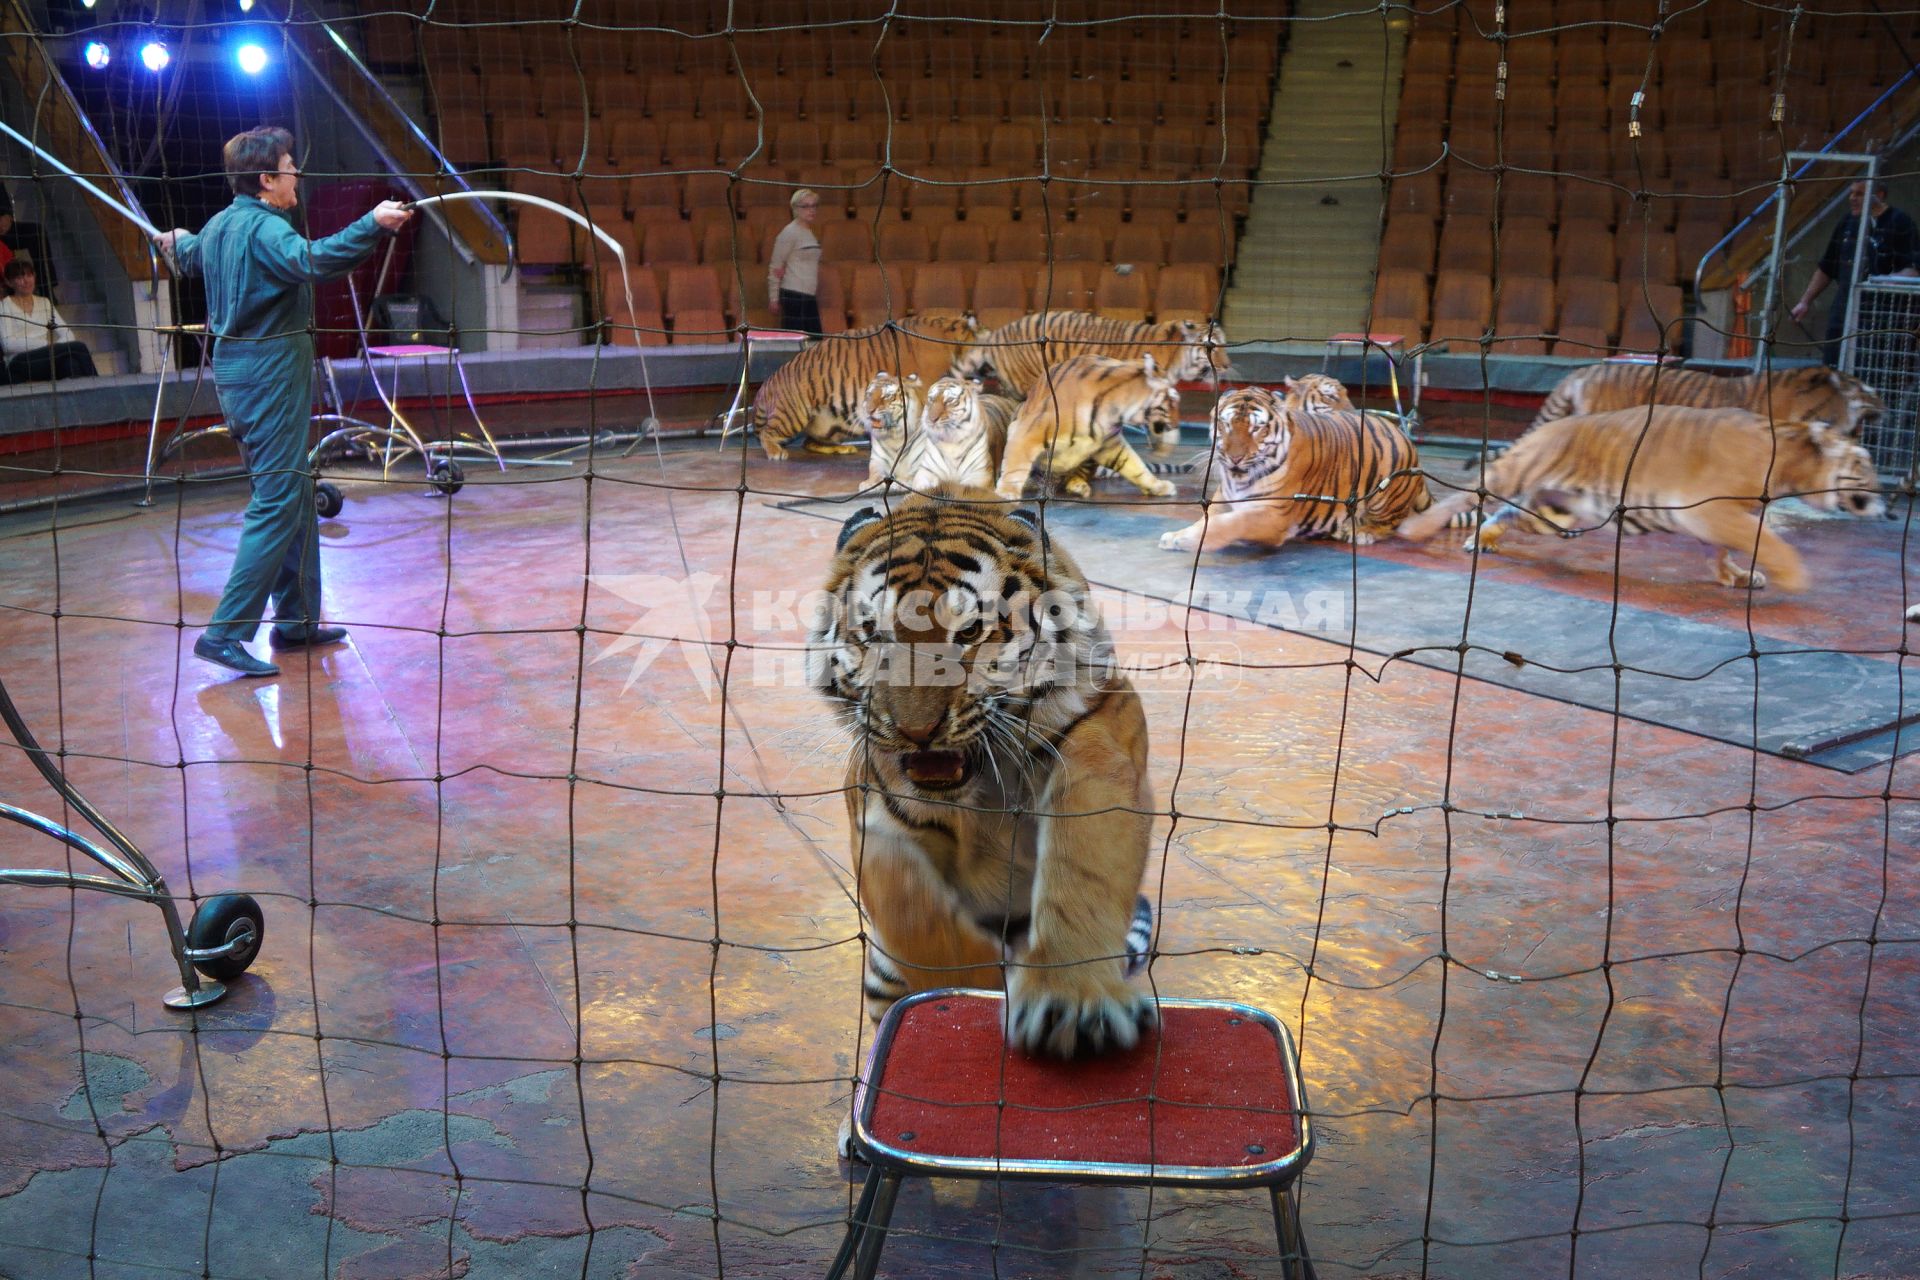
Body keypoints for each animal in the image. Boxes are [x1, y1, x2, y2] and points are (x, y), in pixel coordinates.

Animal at [810, 485, 1152, 1066]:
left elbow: (1085, 865)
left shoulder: (1101, 739)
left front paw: (1072, 1002)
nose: (917, 731)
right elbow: (909, 907)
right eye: (874, 635)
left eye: (968, 630)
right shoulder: (876, 812)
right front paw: (984, 985)